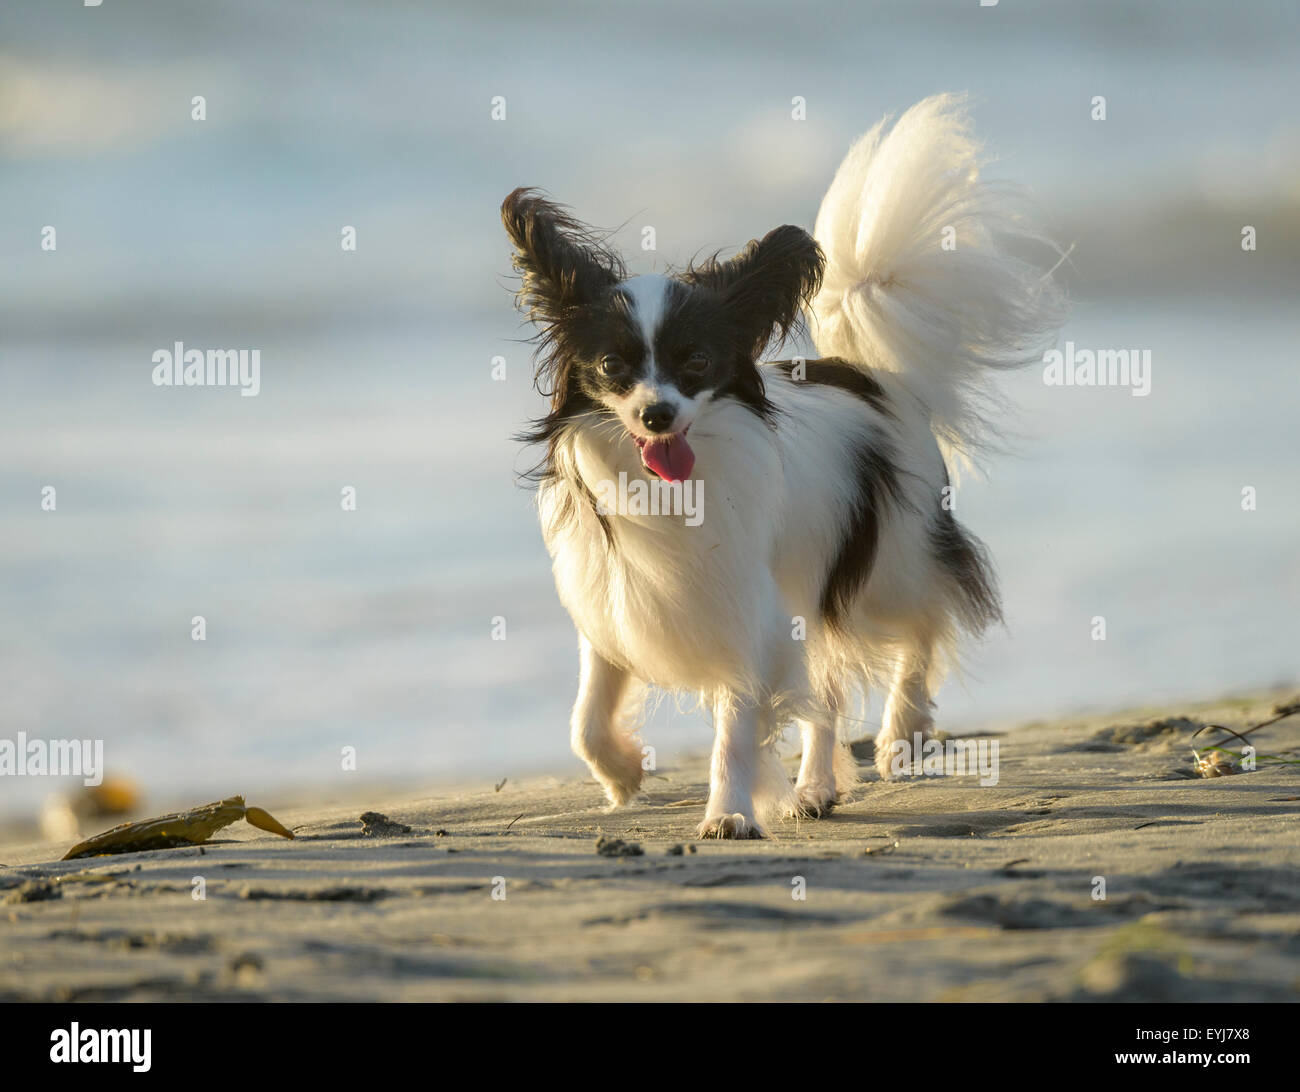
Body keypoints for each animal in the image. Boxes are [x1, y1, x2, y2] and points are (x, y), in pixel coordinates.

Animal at [499, 98, 1066, 842]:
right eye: (611, 367)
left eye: (698, 362)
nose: (656, 414)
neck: (670, 488)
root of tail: (876, 376)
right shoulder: (616, 607)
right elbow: (586, 718)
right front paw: (621, 776)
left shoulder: (752, 614)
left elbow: (736, 731)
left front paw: (728, 814)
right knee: (828, 691)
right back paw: (816, 788)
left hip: (886, 565)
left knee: (926, 619)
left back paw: (902, 732)